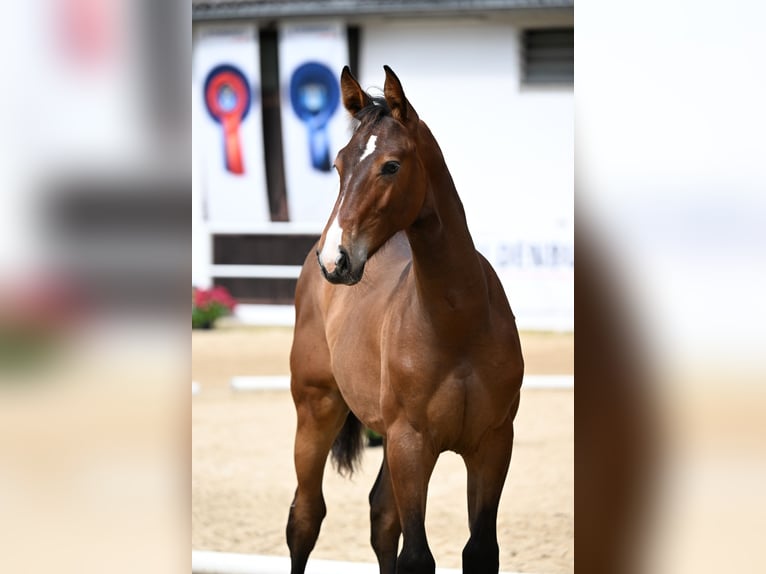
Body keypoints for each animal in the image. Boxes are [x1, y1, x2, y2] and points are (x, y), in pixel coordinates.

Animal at [287, 66, 524, 574]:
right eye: (338, 165)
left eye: (391, 166)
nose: (335, 259)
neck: (457, 324)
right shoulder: (411, 445)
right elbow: (416, 556)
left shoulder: (492, 445)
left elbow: (479, 551)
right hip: (317, 410)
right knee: (305, 517)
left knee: (380, 516)